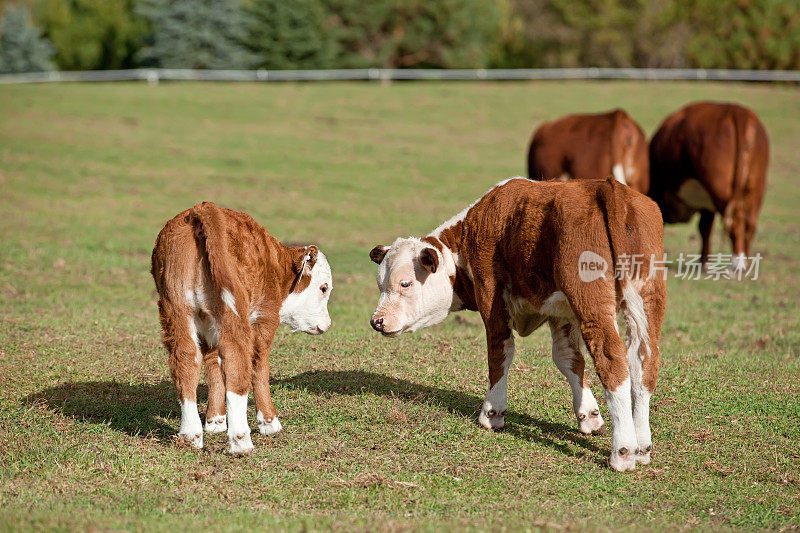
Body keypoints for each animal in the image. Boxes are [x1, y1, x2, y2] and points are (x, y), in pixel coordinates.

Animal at [152, 202, 332, 450]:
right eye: (324, 287)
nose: (328, 324)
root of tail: (202, 209)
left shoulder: (207, 325)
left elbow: (213, 365)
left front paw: (215, 421)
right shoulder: (265, 319)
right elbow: (259, 366)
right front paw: (269, 423)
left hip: (176, 308)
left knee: (186, 358)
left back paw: (191, 435)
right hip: (234, 311)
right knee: (236, 358)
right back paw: (241, 441)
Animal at [648, 101, 768, 270]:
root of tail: (736, 110)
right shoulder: (707, 202)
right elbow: (706, 227)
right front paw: (705, 261)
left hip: (721, 190)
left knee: (736, 221)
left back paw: (737, 263)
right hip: (756, 187)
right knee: (750, 223)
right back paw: (749, 261)